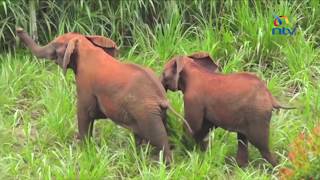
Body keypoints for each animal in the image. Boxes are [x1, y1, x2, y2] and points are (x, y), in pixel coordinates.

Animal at [15, 27, 175, 163]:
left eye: (55, 47)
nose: (18, 29)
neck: (85, 45)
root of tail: (162, 98)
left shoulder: (84, 84)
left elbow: (84, 113)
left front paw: (84, 152)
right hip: (154, 113)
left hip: (147, 114)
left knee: (159, 138)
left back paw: (166, 166)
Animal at [160, 51, 296, 167]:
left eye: (163, 73)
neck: (192, 67)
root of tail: (270, 96)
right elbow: (205, 127)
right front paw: (201, 154)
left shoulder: (192, 99)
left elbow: (193, 126)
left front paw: (185, 154)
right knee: (243, 139)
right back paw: (241, 168)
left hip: (257, 114)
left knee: (260, 144)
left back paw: (276, 168)